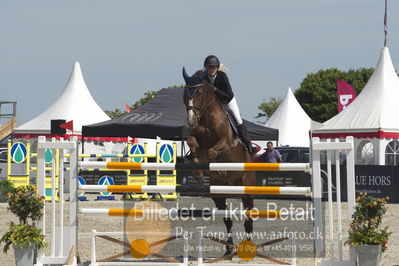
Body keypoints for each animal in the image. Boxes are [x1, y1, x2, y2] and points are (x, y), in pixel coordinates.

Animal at [184, 67, 258, 255]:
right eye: (184, 93)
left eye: (199, 92)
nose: (191, 120)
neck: (205, 118)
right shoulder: (195, 138)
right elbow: (192, 142)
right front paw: (197, 172)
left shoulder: (226, 142)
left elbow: (212, 152)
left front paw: (218, 167)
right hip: (218, 193)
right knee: (227, 219)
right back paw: (229, 248)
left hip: (247, 188)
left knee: (248, 218)